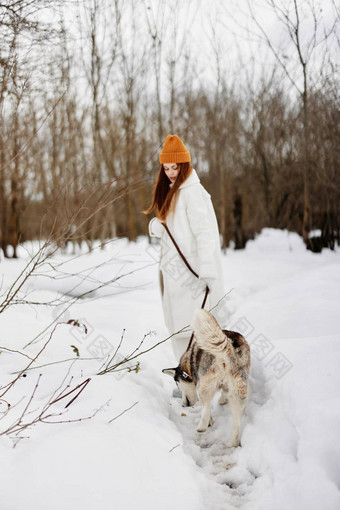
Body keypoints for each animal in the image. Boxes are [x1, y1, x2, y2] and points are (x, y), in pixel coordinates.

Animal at [163, 306, 251, 446]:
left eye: (179, 386)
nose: (184, 405)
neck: (189, 361)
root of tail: (229, 348)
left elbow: (207, 409)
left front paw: (209, 420)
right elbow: (224, 393)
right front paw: (222, 400)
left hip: (203, 386)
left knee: (205, 408)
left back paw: (201, 427)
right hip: (239, 391)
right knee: (236, 421)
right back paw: (232, 442)